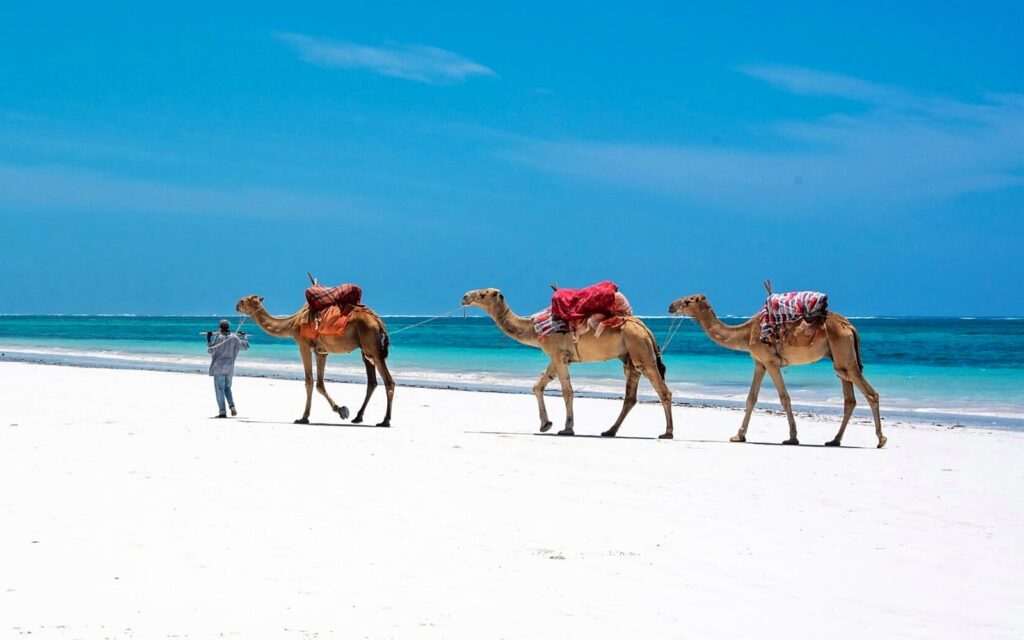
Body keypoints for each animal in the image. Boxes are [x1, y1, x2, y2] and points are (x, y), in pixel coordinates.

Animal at [235, 295, 395, 426]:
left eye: (243, 300)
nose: (236, 305)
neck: (292, 323)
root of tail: (378, 321)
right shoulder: (321, 352)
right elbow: (320, 384)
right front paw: (341, 410)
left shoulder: (304, 346)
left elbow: (309, 382)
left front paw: (303, 418)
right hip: (365, 350)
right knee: (372, 382)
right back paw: (358, 417)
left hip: (372, 345)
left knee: (389, 381)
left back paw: (385, 421)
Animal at [461, 288, 674, 438]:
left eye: (483, 293)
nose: (465, 296)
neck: (533, 328)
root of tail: (645, 329)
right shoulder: (560, 357)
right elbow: (538, 385)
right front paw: (545, 424)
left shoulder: (556, 353)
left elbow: (567, 391)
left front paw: (567, 428)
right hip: (630, 357)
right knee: (630, 397)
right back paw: (609, 431)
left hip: (641, 350)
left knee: (663, 390)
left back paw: (667, 433)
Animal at [667, 294, 885, 448]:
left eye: (687, 300)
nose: (671, 306)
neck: (747, 333)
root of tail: (849, 326)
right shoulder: (759, 363)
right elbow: (751, 398)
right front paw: (739, 435)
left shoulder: (770, 362)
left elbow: (784, 397)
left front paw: (792, 438)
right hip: (839, 358)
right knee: (849, 399)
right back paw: (834, 440)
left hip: (844, 355)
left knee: (871, 394)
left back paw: (881, 439)